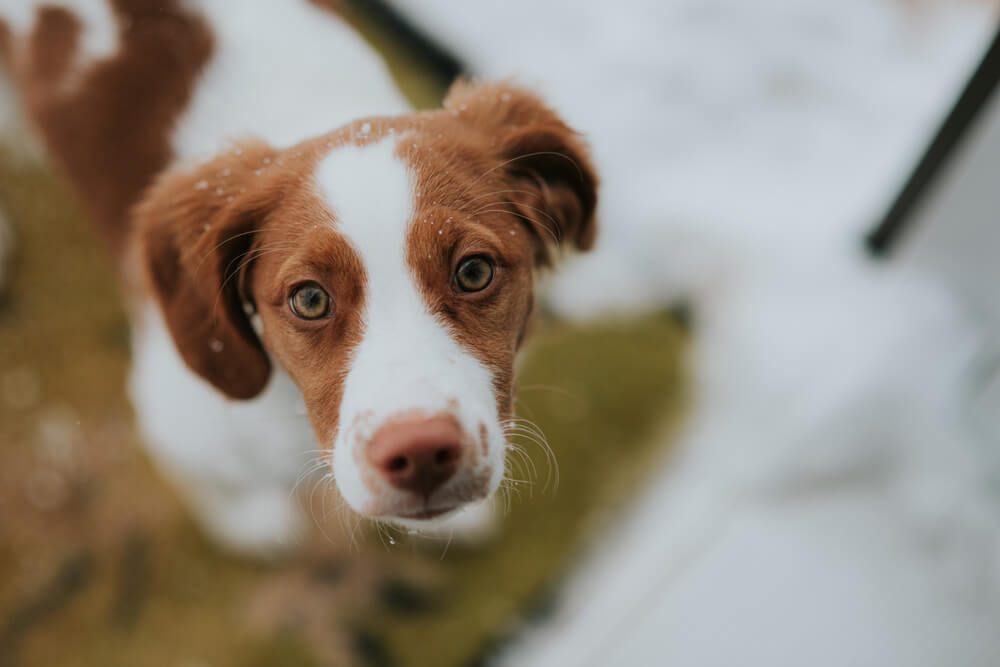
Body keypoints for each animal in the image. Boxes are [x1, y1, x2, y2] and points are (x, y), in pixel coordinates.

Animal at [0, 0, 596, 552]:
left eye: (474, 271)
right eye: (309, 299)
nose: (420, 452)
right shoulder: (174, 414)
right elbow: (205, 481)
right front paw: (250, 524)